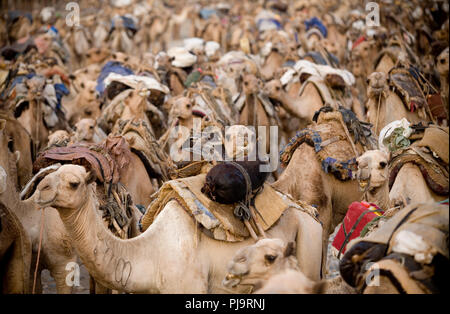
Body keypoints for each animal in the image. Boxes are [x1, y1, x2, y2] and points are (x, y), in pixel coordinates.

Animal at [22, 163, 324, 294]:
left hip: (308, 249)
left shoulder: (189, 286)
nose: (41, 191)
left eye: (74, 183)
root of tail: (313, 217)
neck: (150, 253)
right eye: (48, 175)